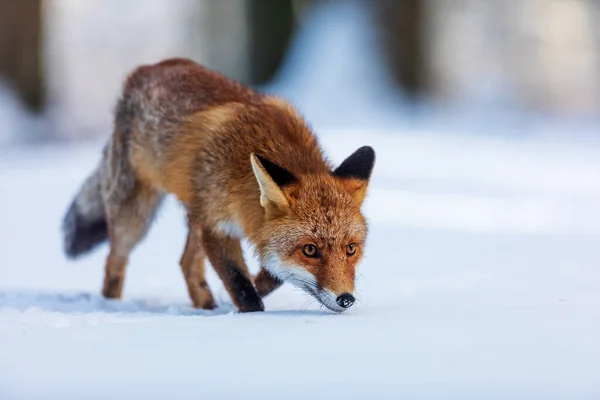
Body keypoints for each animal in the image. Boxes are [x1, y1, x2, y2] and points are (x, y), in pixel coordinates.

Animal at [64, 57, 376, 312]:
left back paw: (206, 307)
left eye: (351, 249)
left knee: (186, 264)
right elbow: (242, 287)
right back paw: (112, 306)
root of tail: (146, 69)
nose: (345, 299)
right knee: (114, 262)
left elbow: (270, 274)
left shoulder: (232, 226)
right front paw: (245, 309)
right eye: (310, 250)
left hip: (194, 212)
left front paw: (244, 292)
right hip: (135, 217)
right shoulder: (216, 226)